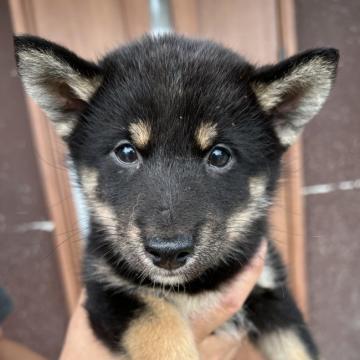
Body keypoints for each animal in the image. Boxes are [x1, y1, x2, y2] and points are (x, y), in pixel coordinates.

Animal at [14, 34, 340, 360]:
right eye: (126, 152)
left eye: (219, 155)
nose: (168, 253)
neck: (193, 288)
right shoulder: (109, 290)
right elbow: (159, 324)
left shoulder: (272, 291)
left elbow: (298, 349)